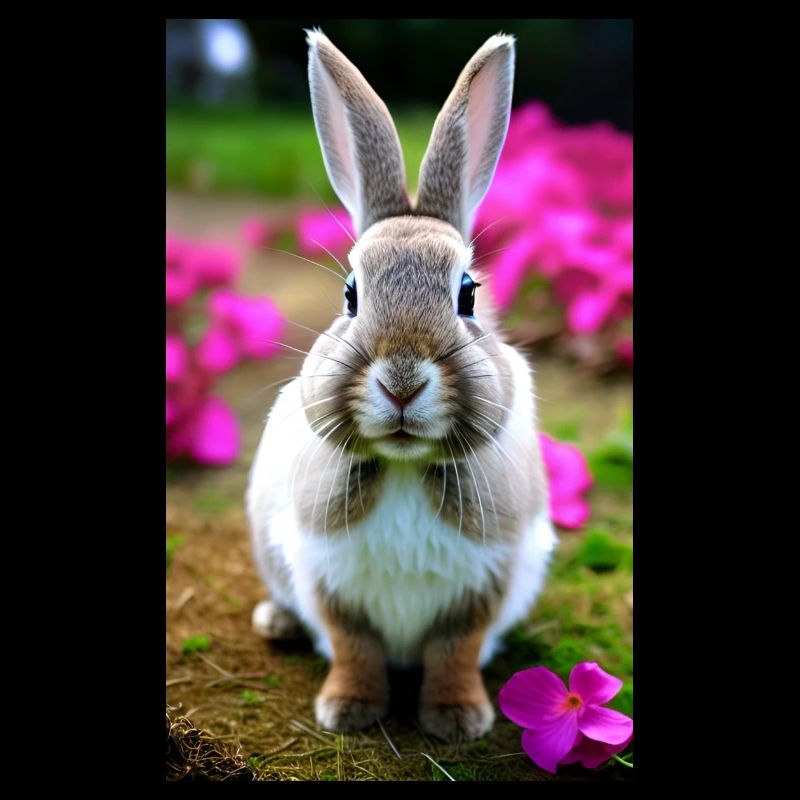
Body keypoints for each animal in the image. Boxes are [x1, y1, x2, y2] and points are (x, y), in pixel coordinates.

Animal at [246, 29, 557, 742]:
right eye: (350, 294)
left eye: (468, 294)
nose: (402, 381)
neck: (406, 465)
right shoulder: (329, 581)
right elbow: (354, 647)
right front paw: (347, 711)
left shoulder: (485, 582)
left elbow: (455, 652)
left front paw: (459, 719)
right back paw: (274, 622)